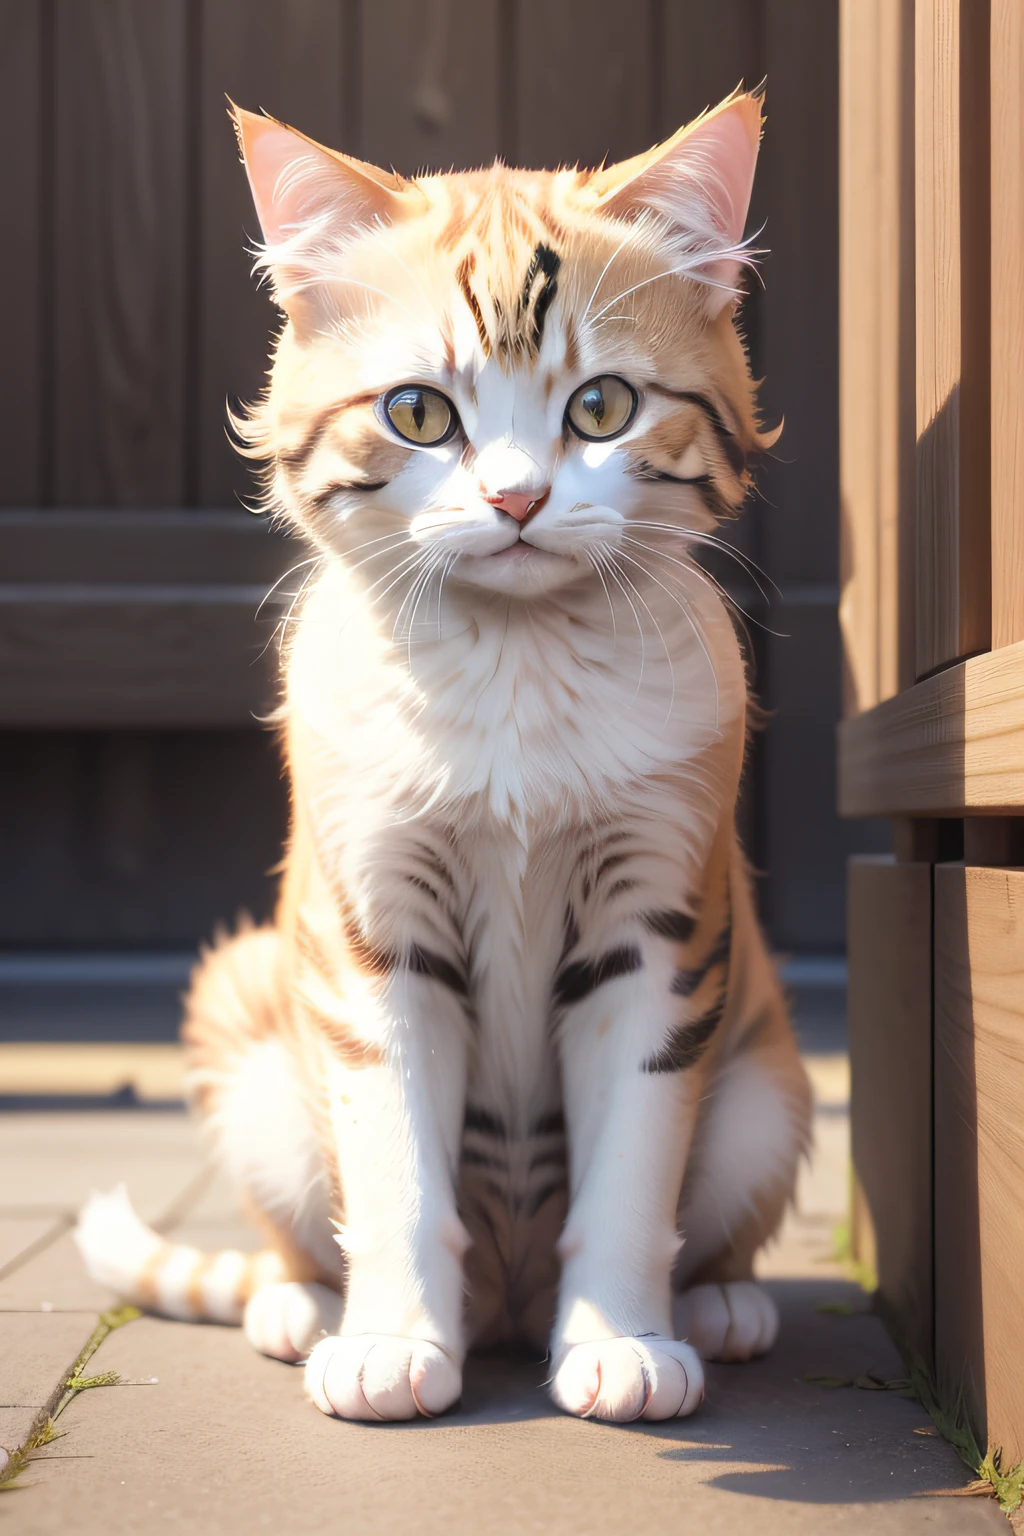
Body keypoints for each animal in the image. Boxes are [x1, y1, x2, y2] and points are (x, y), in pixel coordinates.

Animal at [75, 87, 810, 1425]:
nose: (517, 501)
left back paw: (719, 1308)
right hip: (251, 1041)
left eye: (601, 407)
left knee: (712, 1214)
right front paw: (388, 1347)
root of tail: (508, 1311)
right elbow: (395, 1177)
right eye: (418, 413)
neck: (516, 658)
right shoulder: (374, 923)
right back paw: (299, 1310)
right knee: (302, 1233)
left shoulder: (657, 920)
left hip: (765, 1093)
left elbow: (631, 1172)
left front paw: (624, 1344)